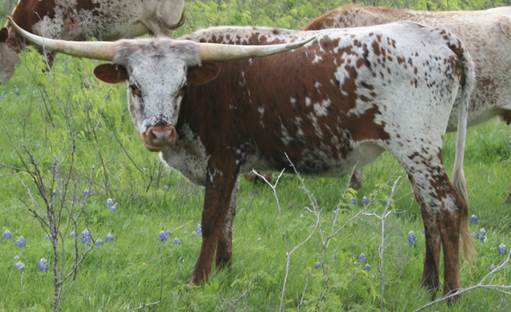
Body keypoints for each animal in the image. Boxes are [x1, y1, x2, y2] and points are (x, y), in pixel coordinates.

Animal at [11, 20, 476, 298]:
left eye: (181, 86)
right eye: (135, 86)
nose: (159, 132)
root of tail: (439, 36)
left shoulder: (223, 158)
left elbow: (211, 219)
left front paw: (197, 281)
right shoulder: (228, 167)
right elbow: (228, 219)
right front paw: (224, 271)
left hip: (416, 147)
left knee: (447, 208)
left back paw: (450, 293)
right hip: (418, 151)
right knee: (429, 210)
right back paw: (428, 284)